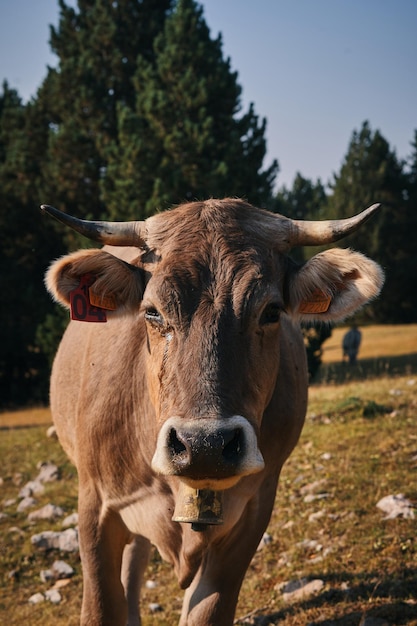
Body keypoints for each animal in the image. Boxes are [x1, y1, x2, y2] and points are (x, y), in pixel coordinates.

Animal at [42, 196, 384, 624]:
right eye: (152, 311)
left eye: (271, 311)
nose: (204, 445)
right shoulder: (95, 505)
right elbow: (102, 606)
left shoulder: (252, 511)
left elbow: (207, 609)